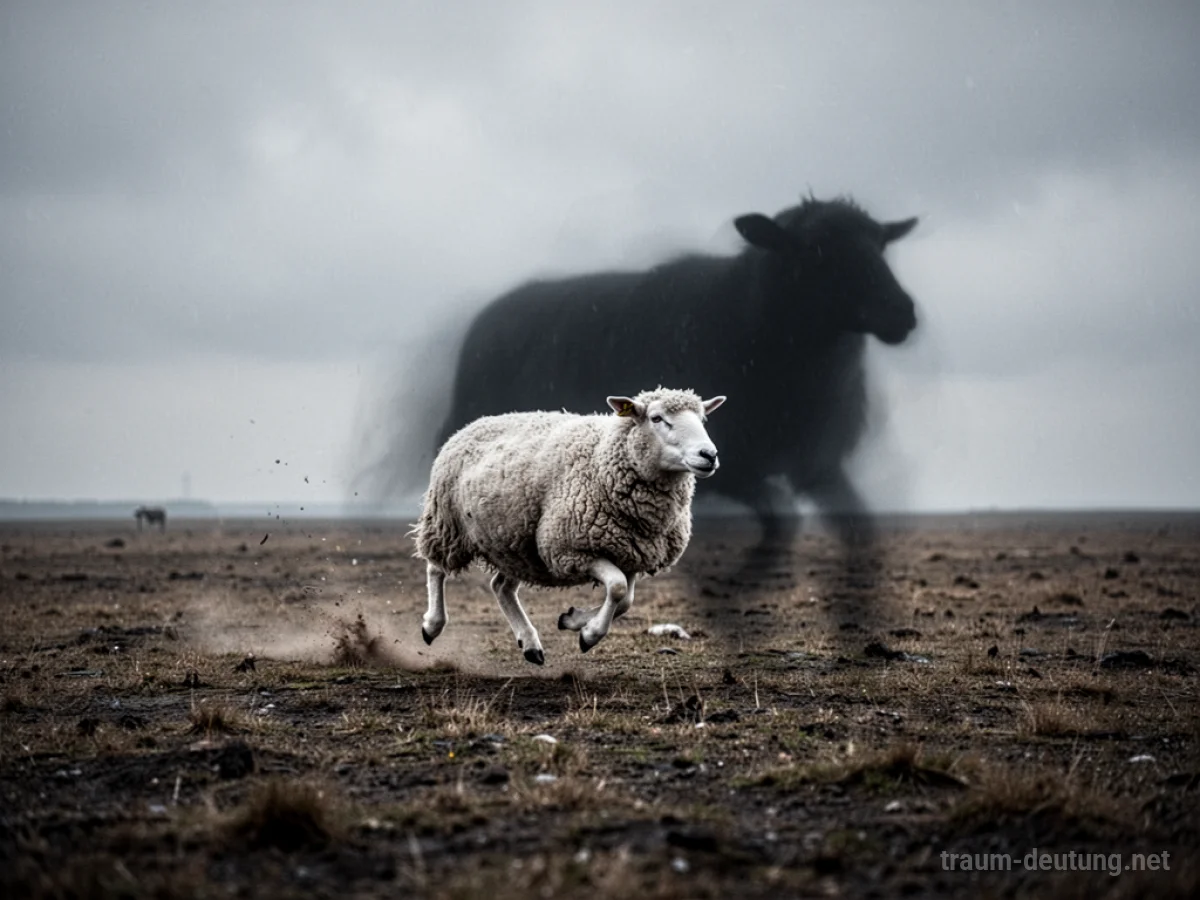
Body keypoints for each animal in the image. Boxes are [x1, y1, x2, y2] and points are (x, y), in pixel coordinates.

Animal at [412, 387, 726, 664]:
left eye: (703, 419)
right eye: (657, 418)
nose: (709, 455)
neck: (603, 456)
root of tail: (473, 424)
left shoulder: (631, 552)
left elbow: (626, 599)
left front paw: (573, 620)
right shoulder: (570, 550)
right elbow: (617, 588)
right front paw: (589, 635)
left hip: (515, 543)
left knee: (501, 587)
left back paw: (530, 644)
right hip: (446, 522)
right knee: (436, 569)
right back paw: (432, 625)